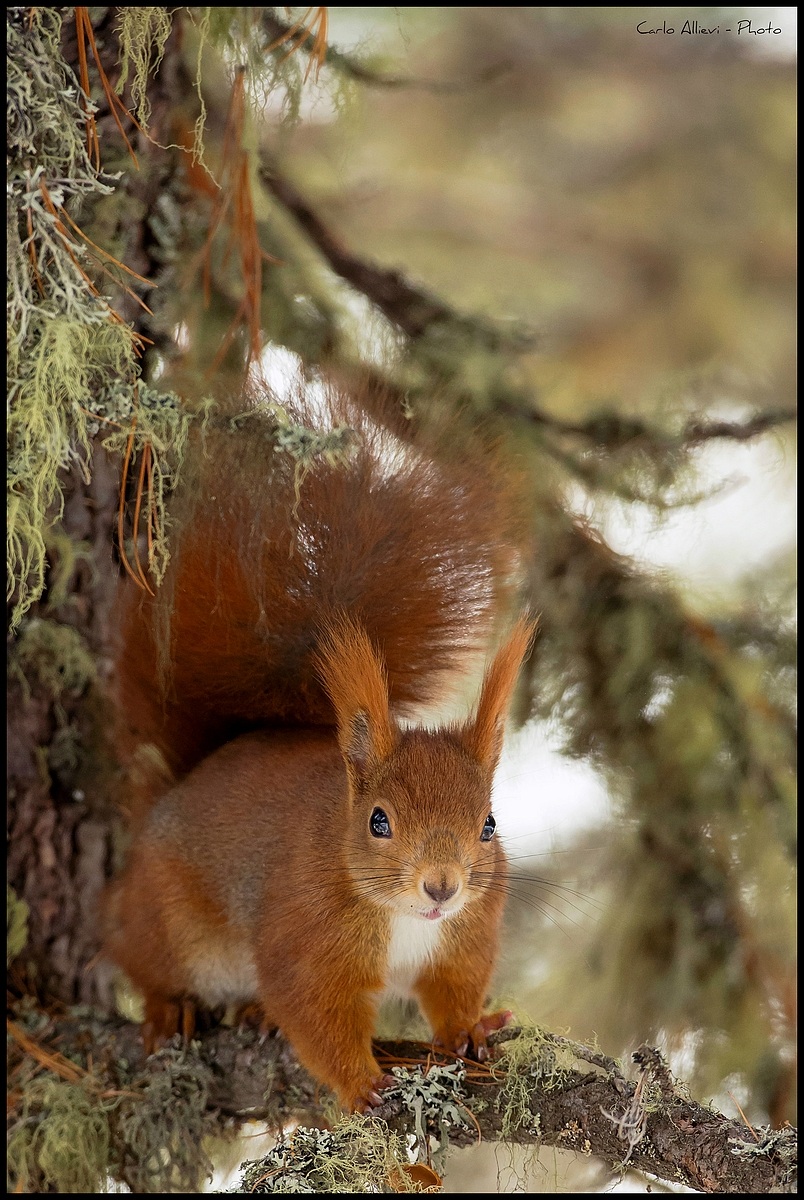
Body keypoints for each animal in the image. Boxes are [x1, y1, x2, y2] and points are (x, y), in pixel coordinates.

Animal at [103, 375, 534, 1111]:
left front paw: (471, 1032)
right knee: (143, 960)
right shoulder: (304, 936)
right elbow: (314, 1012)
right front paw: (362, 1085)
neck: (405, 920)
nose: (442, 886)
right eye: (379, 821)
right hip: (167, 919)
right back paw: (169, 1008)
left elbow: (451, 991)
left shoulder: (465, 938)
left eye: (489, 824)